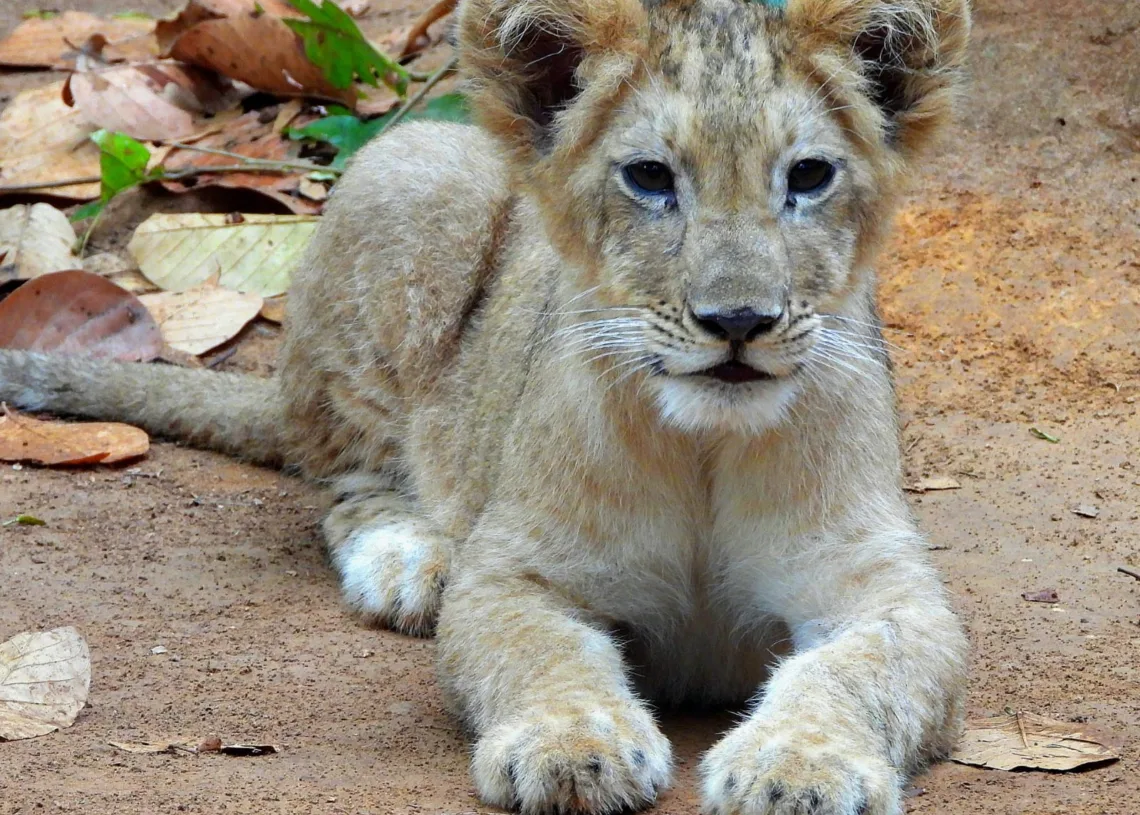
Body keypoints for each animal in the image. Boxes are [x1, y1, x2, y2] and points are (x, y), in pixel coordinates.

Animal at [0, 0, 973, 812]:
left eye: (807, 176)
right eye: (650, 177)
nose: (737, 322)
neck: (705, 446)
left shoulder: (886, 588)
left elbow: (858, 669)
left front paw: (799, 766)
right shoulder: (516, 572)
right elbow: (544, 654)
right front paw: (571, 746)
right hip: (408, 172)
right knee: (352, 479)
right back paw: (411, 561)